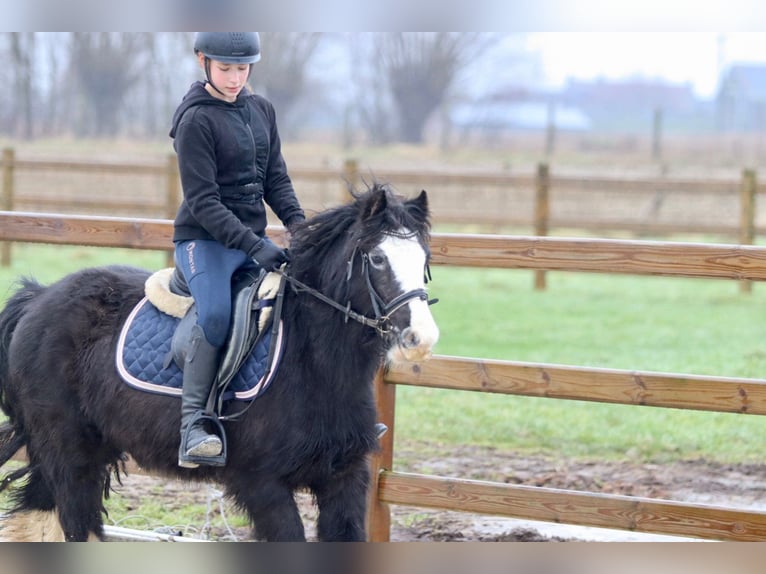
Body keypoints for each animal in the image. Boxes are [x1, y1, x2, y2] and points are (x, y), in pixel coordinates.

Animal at [0, 186, 438, 544]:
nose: (422, 338)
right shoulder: (262, 483)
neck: (311, 361)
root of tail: (39, 297)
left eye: (423, 259)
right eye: (377, 258)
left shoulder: (344, 477)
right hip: (70, 452)